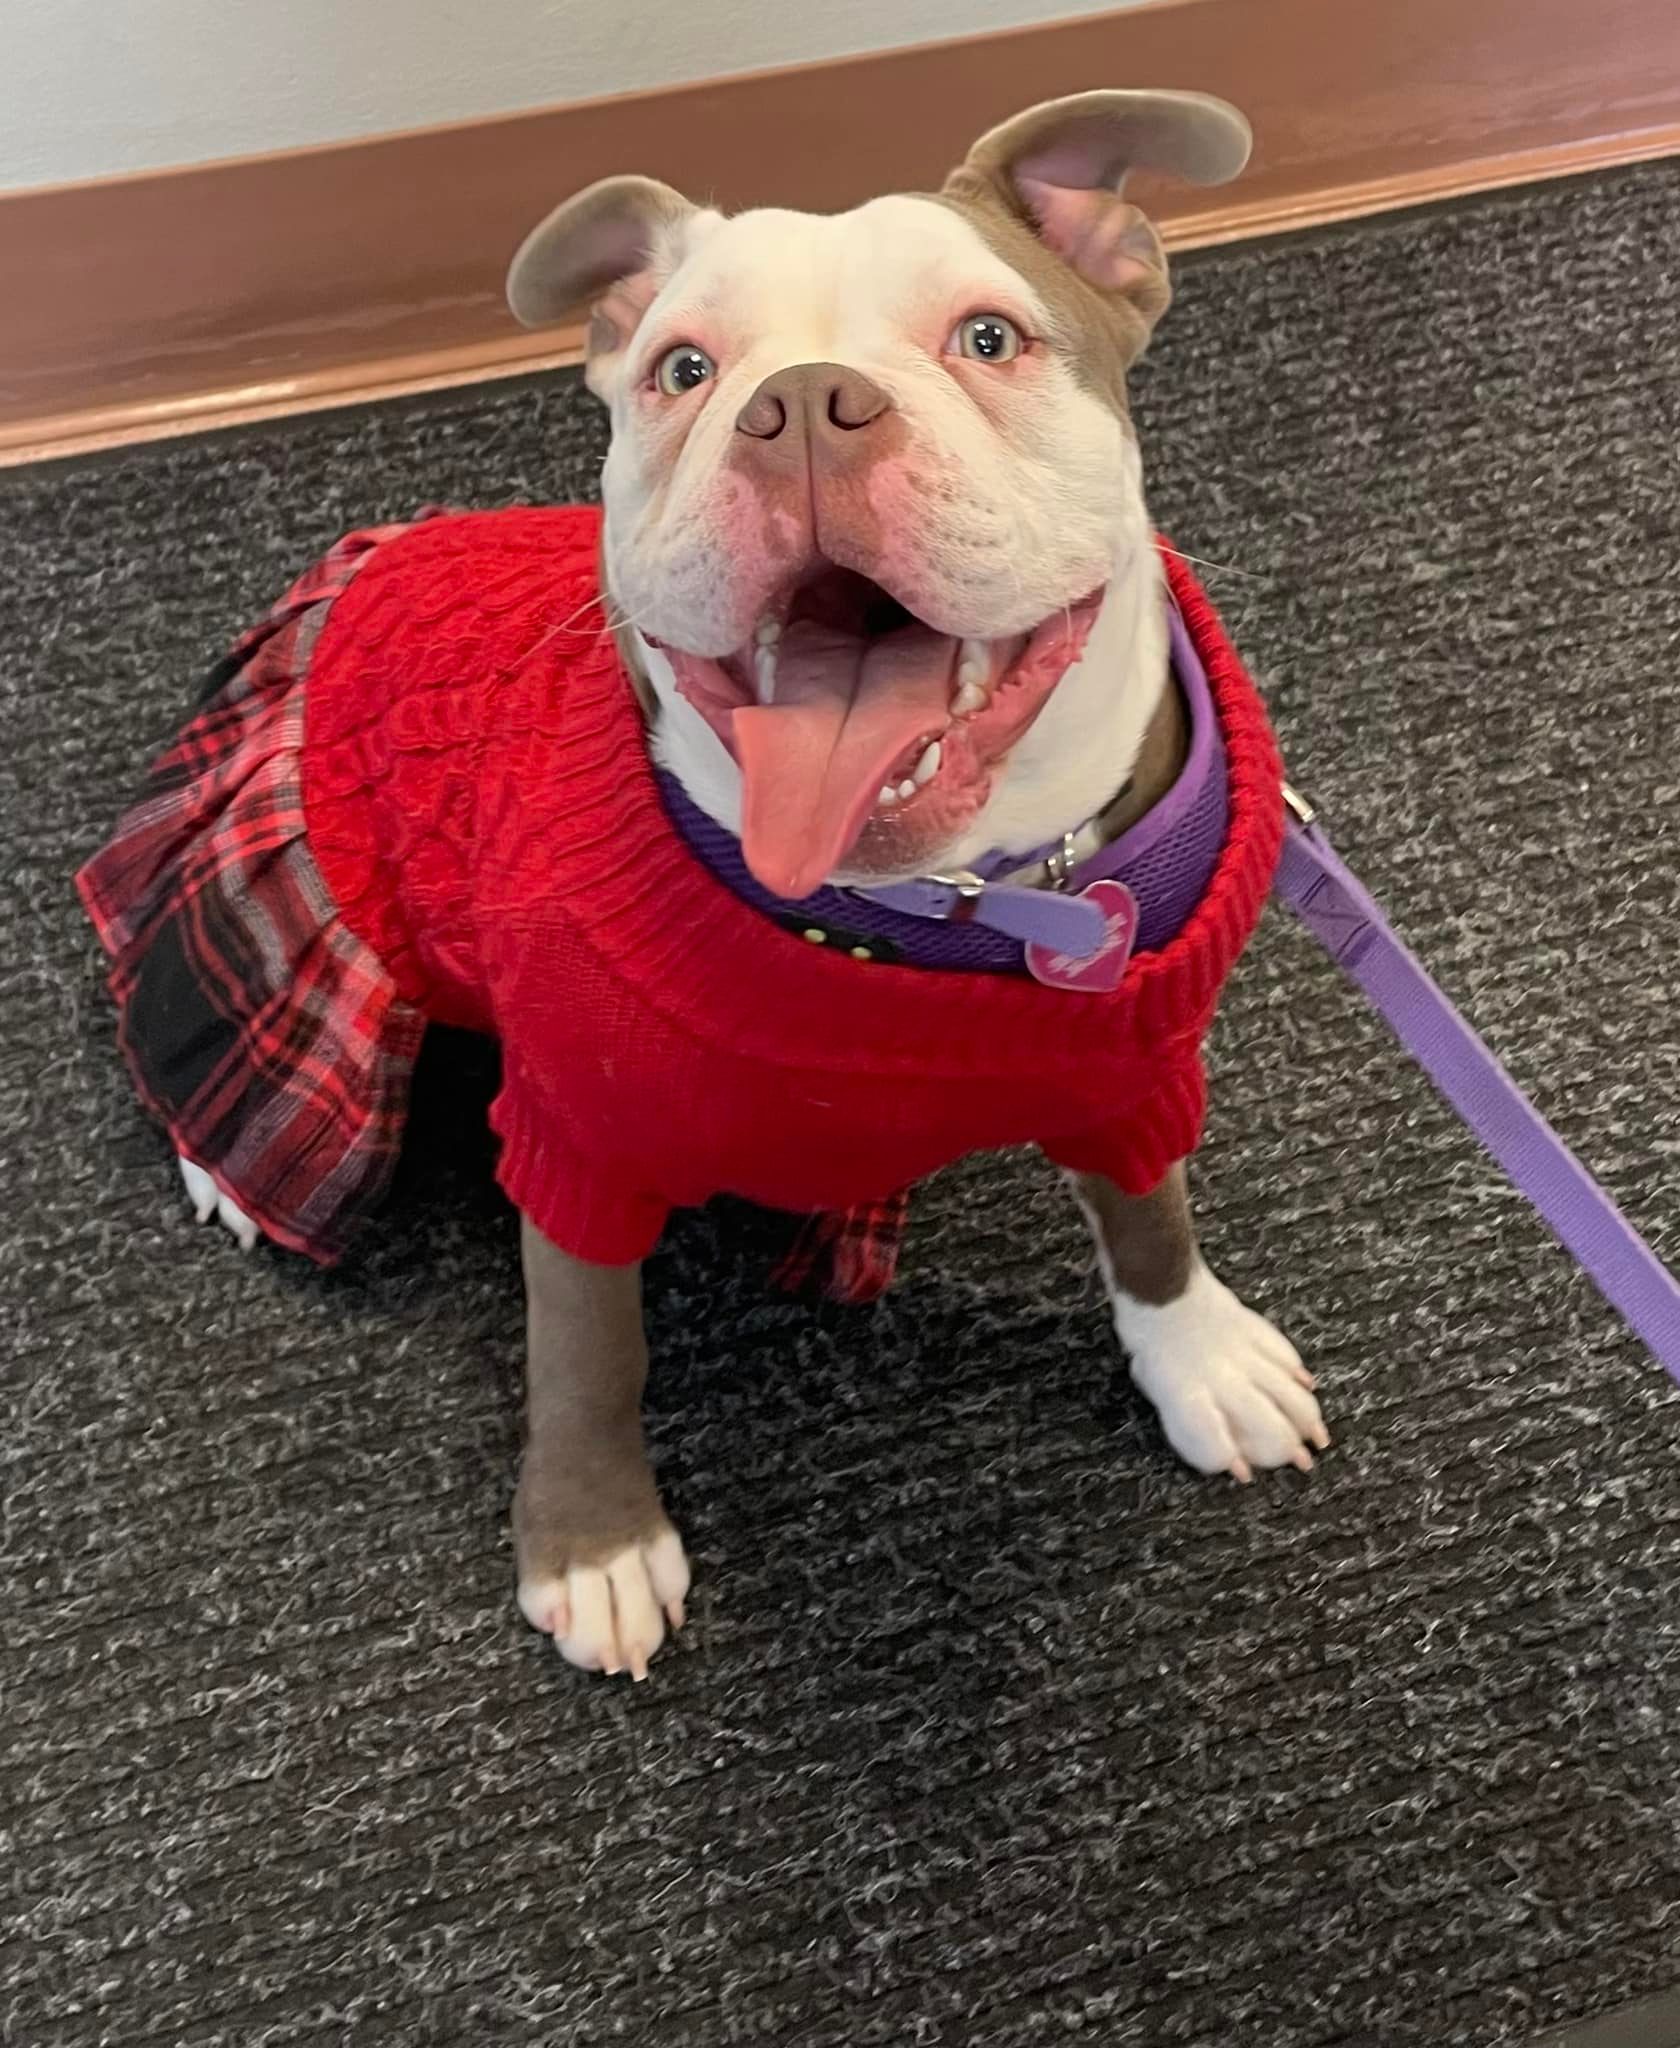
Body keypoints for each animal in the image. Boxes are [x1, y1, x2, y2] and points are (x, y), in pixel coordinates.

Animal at [84, 90, 1327, 1682]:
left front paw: (1199, 1356)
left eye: (989, 336)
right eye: (683, 368)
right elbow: (588, 1351)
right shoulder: (579, 1139)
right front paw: (592, 1539)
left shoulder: (1132, 1061)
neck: (938, 909)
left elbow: (1151, 1215)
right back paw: (223, 1162)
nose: (801, 406)